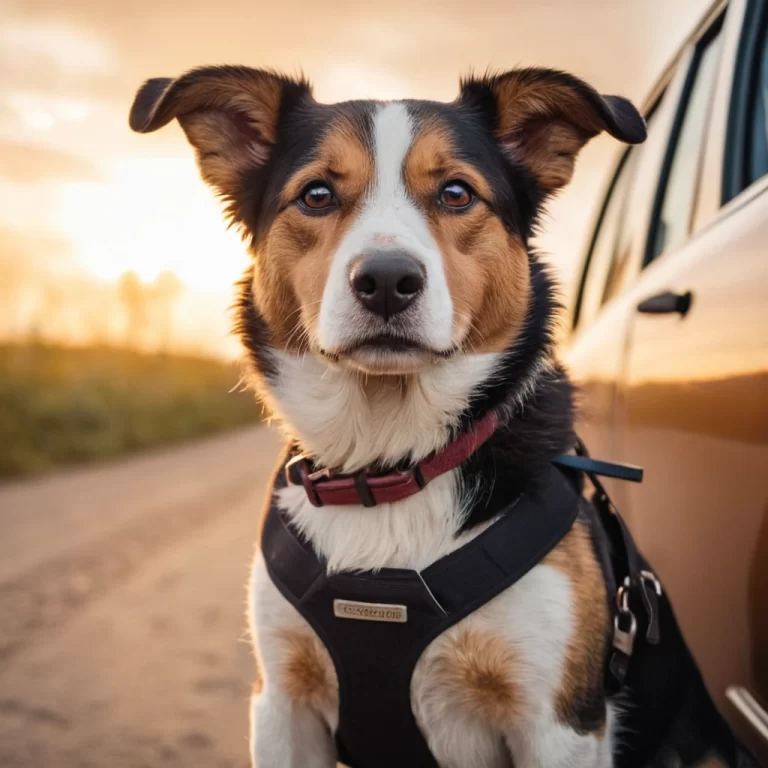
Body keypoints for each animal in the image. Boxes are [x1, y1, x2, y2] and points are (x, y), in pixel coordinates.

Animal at [129, 64, 748, 768]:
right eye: (316, 195)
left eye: (456, 193)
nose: (386, 280)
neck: (389, 464)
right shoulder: (283, 702)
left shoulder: (558, 723)